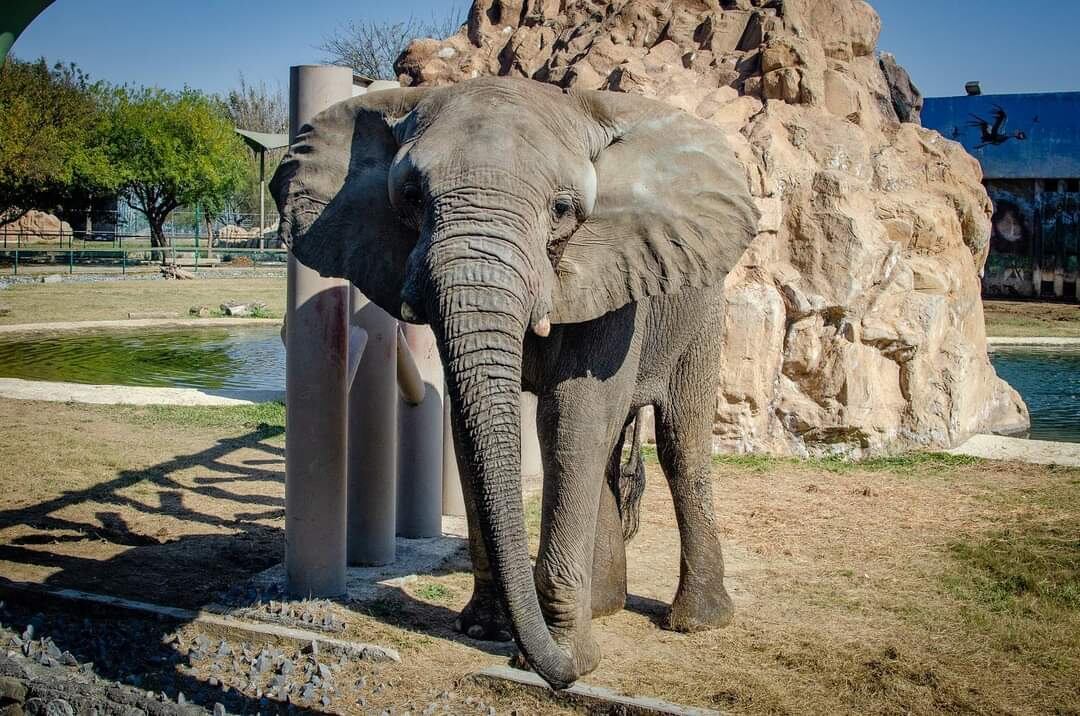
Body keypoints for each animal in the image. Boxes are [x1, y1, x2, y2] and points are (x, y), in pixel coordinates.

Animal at [271, 77, 759, 689]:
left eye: (562, 209)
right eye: (410, 197)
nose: (565, 677)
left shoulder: (612, 271)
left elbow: (568, 419)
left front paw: (566, 657)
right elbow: (467, 430)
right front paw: (485, 631)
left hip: (701, 307)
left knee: (680, 442)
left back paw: (695, 622)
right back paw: (606, 609)